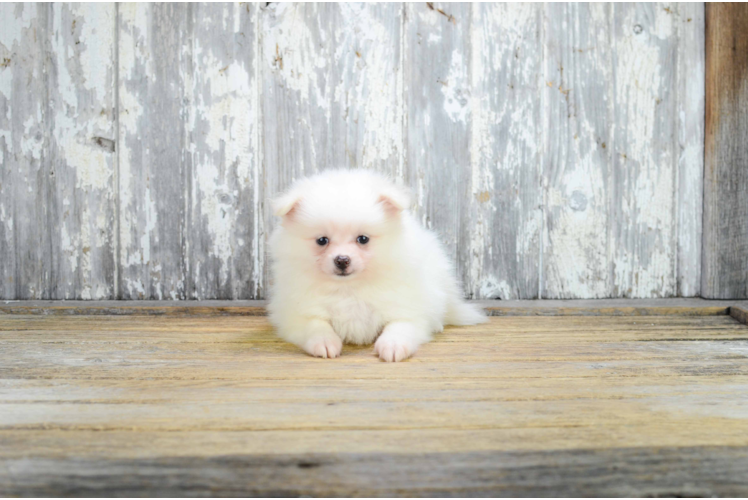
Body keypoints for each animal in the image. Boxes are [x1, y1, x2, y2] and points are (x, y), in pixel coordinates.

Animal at [266, 170, 488, 362]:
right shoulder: (297, 312)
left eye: (363, 239)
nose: (342, 259)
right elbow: (315, 325)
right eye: (322, 240)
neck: (349, 288)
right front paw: (325, 341)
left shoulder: (407, 305)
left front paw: (393, 345)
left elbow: (400, 325)